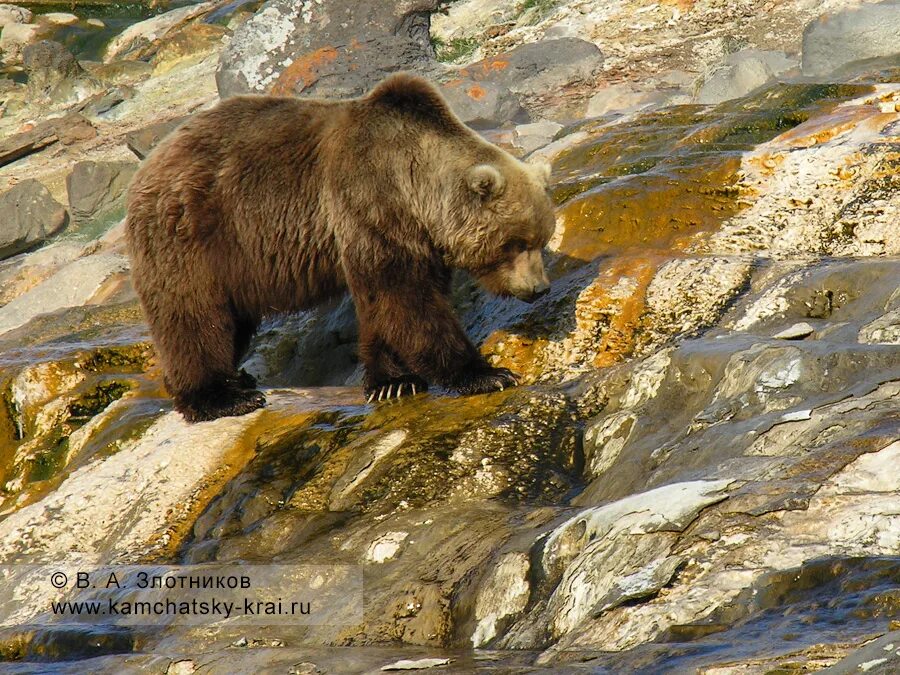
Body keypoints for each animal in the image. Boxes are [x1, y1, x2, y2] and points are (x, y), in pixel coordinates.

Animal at [123, 74, 552, 422]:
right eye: (516, 243)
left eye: (541, 240)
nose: (539, 289)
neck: (417, 191)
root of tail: (151, 161)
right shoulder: (369, 205)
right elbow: (406, 300)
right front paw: (488, 374)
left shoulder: (411, 236)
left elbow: (388, 304)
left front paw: (392, 381)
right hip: (193, 234)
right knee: (192, 313)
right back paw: (222, 397)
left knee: (231, 320)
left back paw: (239, 379)